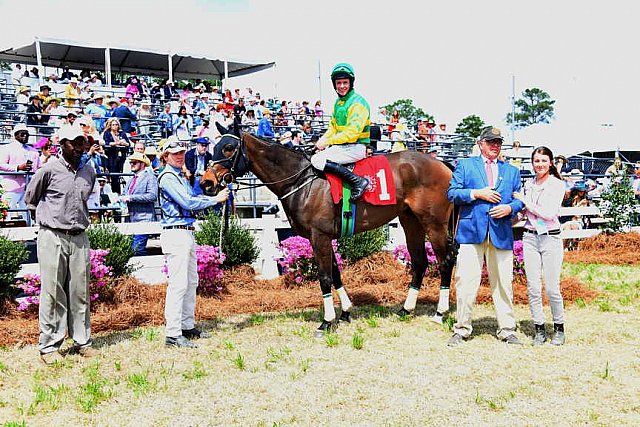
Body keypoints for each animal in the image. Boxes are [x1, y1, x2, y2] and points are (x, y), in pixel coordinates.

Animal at [202, 129, 458, 336]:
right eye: (214, 146)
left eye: (228, 147)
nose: (206, 183)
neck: (301, 180)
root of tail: (443, 164)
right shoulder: (322, 237)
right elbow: (335, 274)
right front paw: (345, 312)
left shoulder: (319, 236)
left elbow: (325, 277)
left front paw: (326, 321)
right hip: (410, 221)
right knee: (420, 262)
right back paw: (406, 309)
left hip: (434, 224)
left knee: (445, 261)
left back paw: (440, 312)